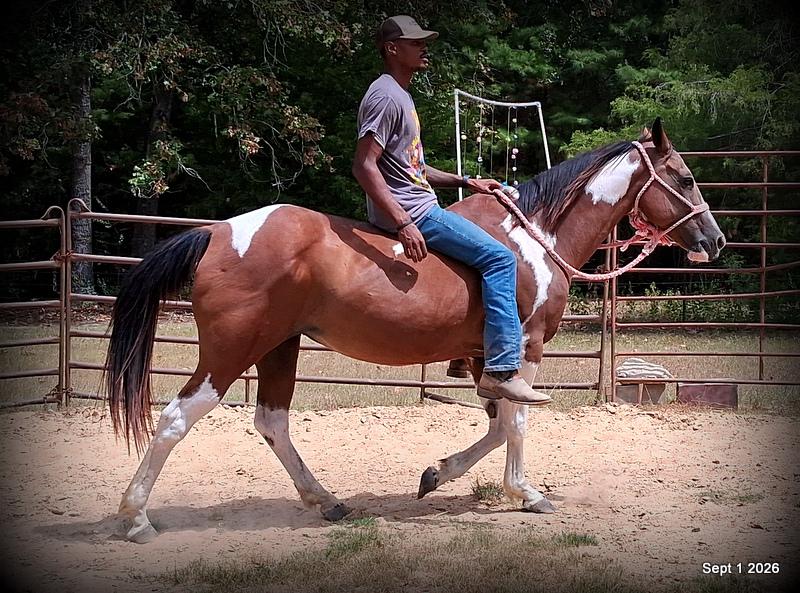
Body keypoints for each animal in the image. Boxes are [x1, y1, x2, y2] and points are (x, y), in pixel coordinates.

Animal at [105, 118, 725, 543]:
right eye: (686, 177)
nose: (714, 240)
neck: (535, 237)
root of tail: (217, 232)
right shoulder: (524, 349)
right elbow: (518, 420)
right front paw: (526, 493)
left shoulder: (484, 360)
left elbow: (498, 423)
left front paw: (437, 474)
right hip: (231, 351)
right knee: (175, 419)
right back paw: (135, 519)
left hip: (279, 347)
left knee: (272, 422)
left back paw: (325, 501)